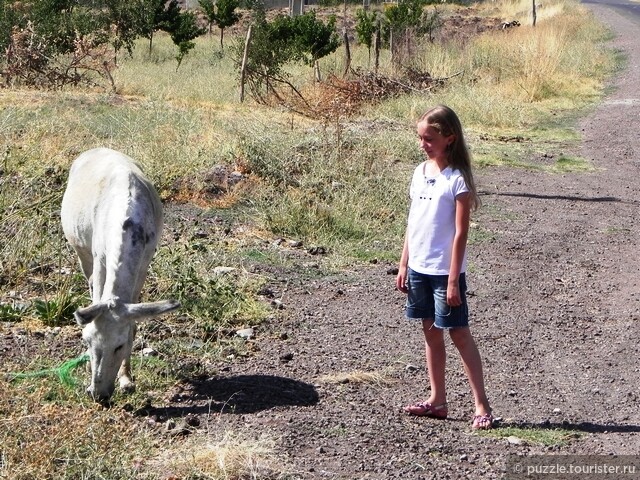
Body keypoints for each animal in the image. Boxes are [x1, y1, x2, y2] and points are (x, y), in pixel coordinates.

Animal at [60, 148, 180, 404]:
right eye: (87, 340)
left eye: (120, 345)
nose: (99, 395)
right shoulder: (99, 257)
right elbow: (97, 295)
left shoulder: (144, 262)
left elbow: (133, 321)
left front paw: (126, 380)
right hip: (81, 250)